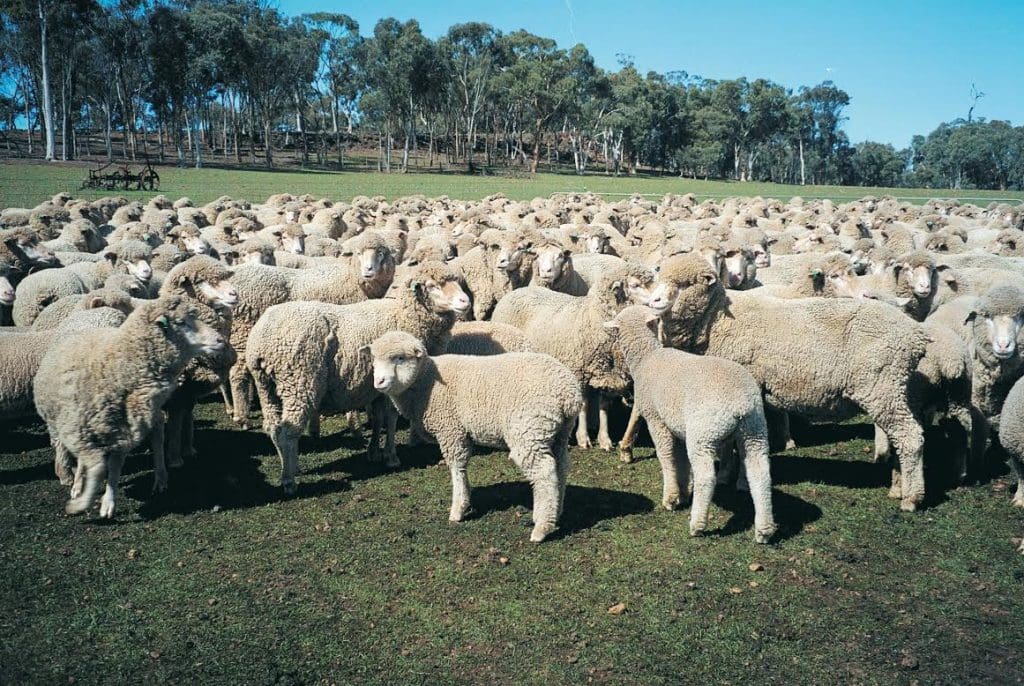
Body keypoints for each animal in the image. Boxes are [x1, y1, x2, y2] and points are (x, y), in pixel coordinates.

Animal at [34, 296, 225, 517]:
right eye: (181, 322)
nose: (220, 340)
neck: (121, 365)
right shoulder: (84, 429)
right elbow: (96, 467)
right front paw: (80, 500)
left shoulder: (123, 431)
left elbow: (113, 468)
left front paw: (107, 502)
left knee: (157, 435)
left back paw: (160, 478)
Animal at [246, 261, 470, 491]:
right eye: (432, 286)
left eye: (456, 281)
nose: (465, 301)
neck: (403, 315)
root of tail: (262, 339)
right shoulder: (394, 382)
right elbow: (391, 417)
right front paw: (391, 456)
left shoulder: (377, 386)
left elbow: (379, 417)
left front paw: (374, 452)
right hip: (299, 381)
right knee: (288, 431)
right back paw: (289, 480)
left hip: (266, 387)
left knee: (273, 427)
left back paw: (290, 466)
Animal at [368, 330, 581, 542]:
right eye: (374, 359)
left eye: (400, 358)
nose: (378, 382)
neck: (426, 382)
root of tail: (569, 394)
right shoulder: (460, 432)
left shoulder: (451, 430)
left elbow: (456, 468)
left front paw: (458, 509)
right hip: (558, 433)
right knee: (561, 467)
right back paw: (556, 512)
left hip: (529, 431)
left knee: (544, 472)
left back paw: (542, 528)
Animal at [603, 306, 776, 542]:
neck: (647, 357)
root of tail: (741, 403)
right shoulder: (678, 427)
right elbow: (682, 461)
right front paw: (684, 493)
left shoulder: (657, 420)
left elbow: (666, 456)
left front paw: (671, 497)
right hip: (754, 431)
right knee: (761, 474)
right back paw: (764, 530)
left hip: (704, 433)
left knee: (706, 477)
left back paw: (697, 525)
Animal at [649, 254, 930, 511]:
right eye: (660, 278)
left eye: (685, 284)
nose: (654, 301)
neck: (716, 320)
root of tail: (916, 335)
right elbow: (729, 444)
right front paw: (725, 475)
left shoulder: (747, 390)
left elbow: (742, 445)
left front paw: (740, 481)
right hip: (895, 390)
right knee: (900, 438)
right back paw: (898, 487)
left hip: (882, 388)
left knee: (910, 438)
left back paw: (912, 498)